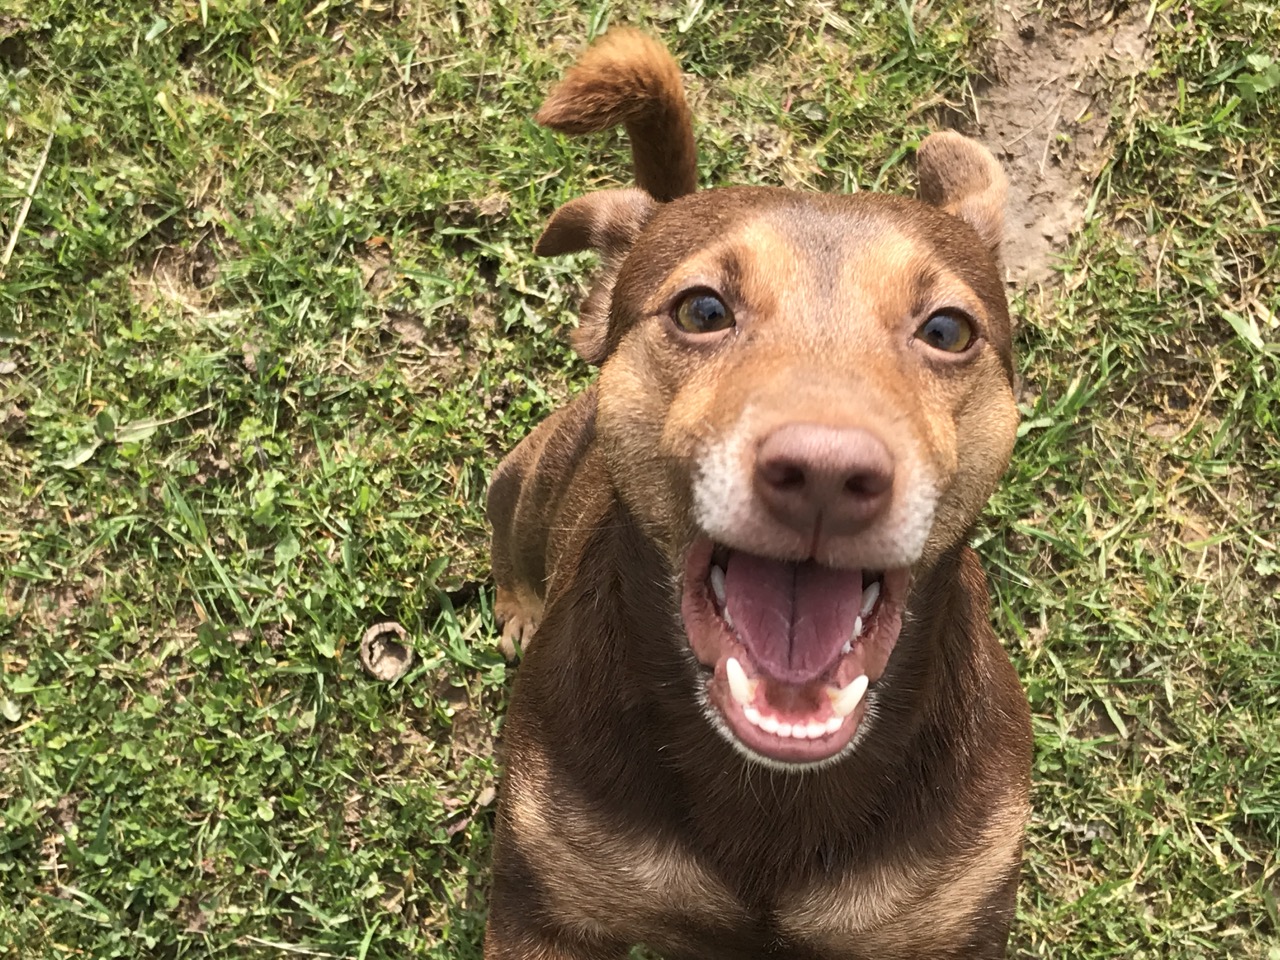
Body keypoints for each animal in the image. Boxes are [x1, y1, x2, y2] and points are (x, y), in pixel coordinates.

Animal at [483, 28, 1034, 960]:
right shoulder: (543, 910)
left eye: (948, 329)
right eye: (701, 310)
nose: (825, 474)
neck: (770, 793)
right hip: (524, 477)